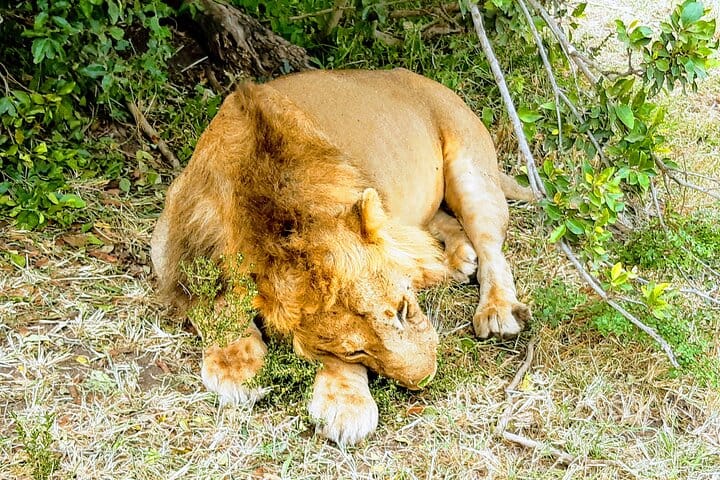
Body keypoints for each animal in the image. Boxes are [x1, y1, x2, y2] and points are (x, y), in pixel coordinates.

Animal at [151, 68, 533, 445]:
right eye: (355, 351)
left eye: (403, 309)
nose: (425, 379)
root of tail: (417, 77)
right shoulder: (168, 247)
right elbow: (208, 299)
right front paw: (235, 365)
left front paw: (345, 404)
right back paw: (458, 257)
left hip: (471, 171)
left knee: (490, 246)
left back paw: (497, 309)